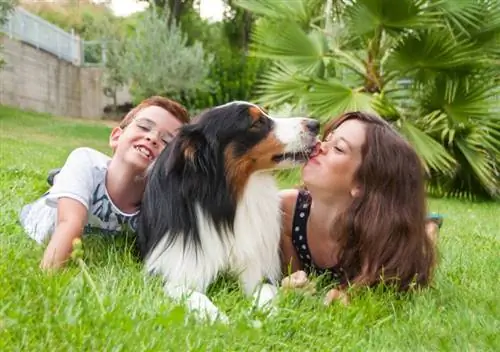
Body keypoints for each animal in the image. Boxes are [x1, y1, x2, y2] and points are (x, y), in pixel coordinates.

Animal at [135, 100, 318, 324]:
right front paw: (221, 320)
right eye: (257, 123)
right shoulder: (172, 270)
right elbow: (194, 296)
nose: (315, 124)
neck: (227, 198)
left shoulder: (258, 269)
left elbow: (265, 292)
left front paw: (266, 314)